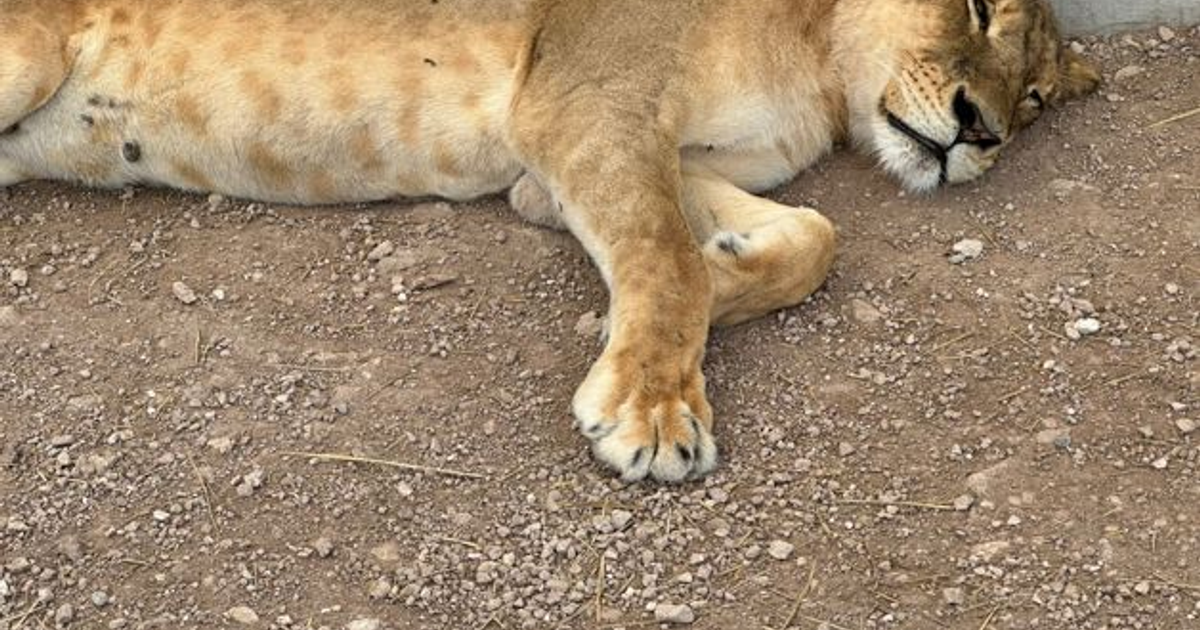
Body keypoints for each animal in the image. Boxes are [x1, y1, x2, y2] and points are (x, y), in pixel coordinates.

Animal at [0, 0, 1098, 481]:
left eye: (1037, 98)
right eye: (975, 5)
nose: (981, 132)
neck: (823, 68)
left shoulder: (657, 153)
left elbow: (810, 238)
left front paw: (718, 276)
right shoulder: (585, 106)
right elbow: (662, 260)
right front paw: (654, 408)